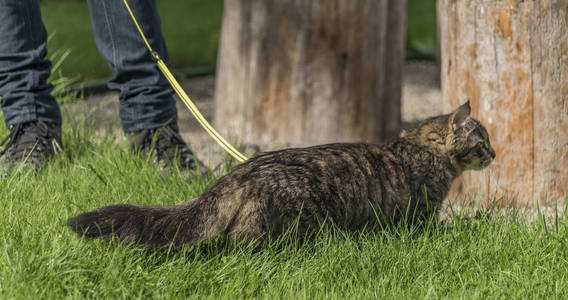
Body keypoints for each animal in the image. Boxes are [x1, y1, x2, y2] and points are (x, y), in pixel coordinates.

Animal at [66, 102, 494, 247]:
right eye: (483, 141)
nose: (495, 154)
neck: (413, 149)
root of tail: (237, 174)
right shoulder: (420, 217)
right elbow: (436, 229)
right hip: (296, 219)